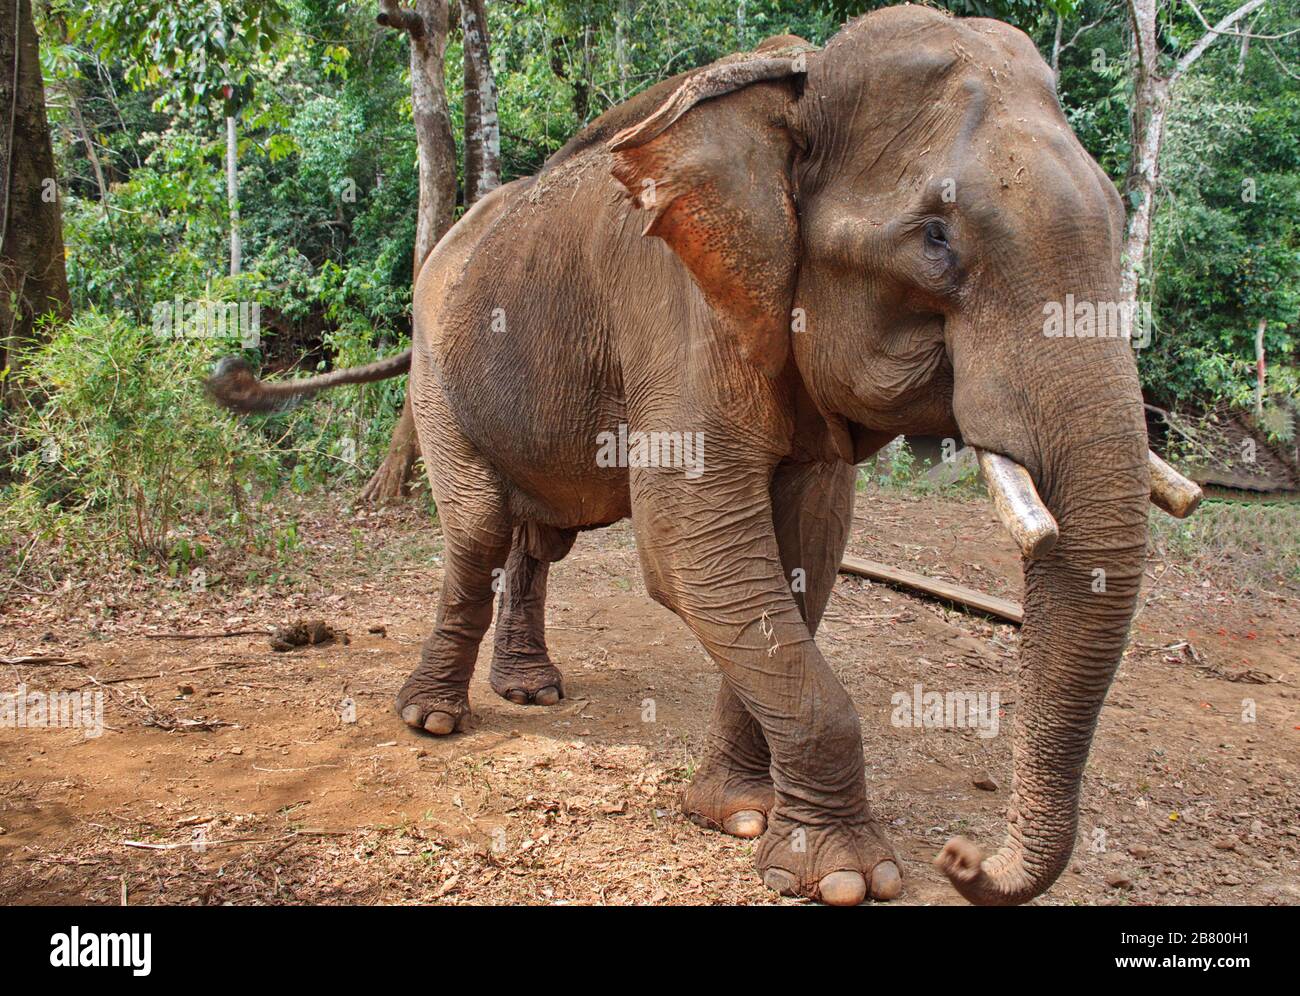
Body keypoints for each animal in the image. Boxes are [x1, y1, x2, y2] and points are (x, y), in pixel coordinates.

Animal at [210, 5, 1202, 906]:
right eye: (937, 238)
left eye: (1120, 221)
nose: (962, 856)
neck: (793, 88)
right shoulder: (674, 307)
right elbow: (695, 549)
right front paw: (849, 877)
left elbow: (801, 550)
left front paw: (738, 815)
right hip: (438, 380)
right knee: (482, 528)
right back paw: (433, 720)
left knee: (539, 538)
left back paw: (531, 693)